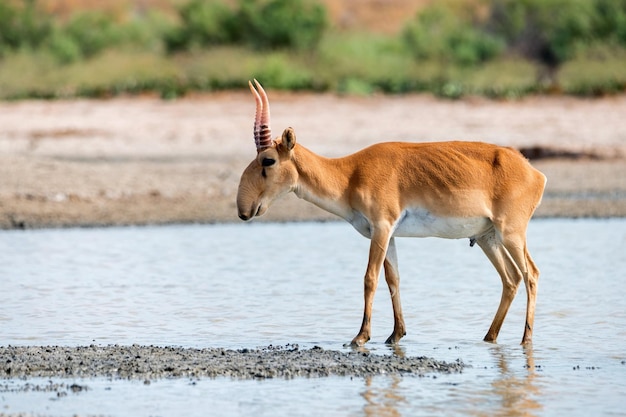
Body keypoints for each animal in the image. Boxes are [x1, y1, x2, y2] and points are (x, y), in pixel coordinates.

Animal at [236, 79, 544, 346]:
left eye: (268, 160)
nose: (243, 210)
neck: (349, 174)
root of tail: (533, 172)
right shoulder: (388, 234)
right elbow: (393, 278)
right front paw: (395, 334)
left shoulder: (382, 228)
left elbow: (370, 278)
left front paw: (360, 337)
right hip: (487, 238)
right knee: (511, 279)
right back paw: (489, 337)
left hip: (511, 234)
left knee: (531, 274)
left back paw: (526, 340)